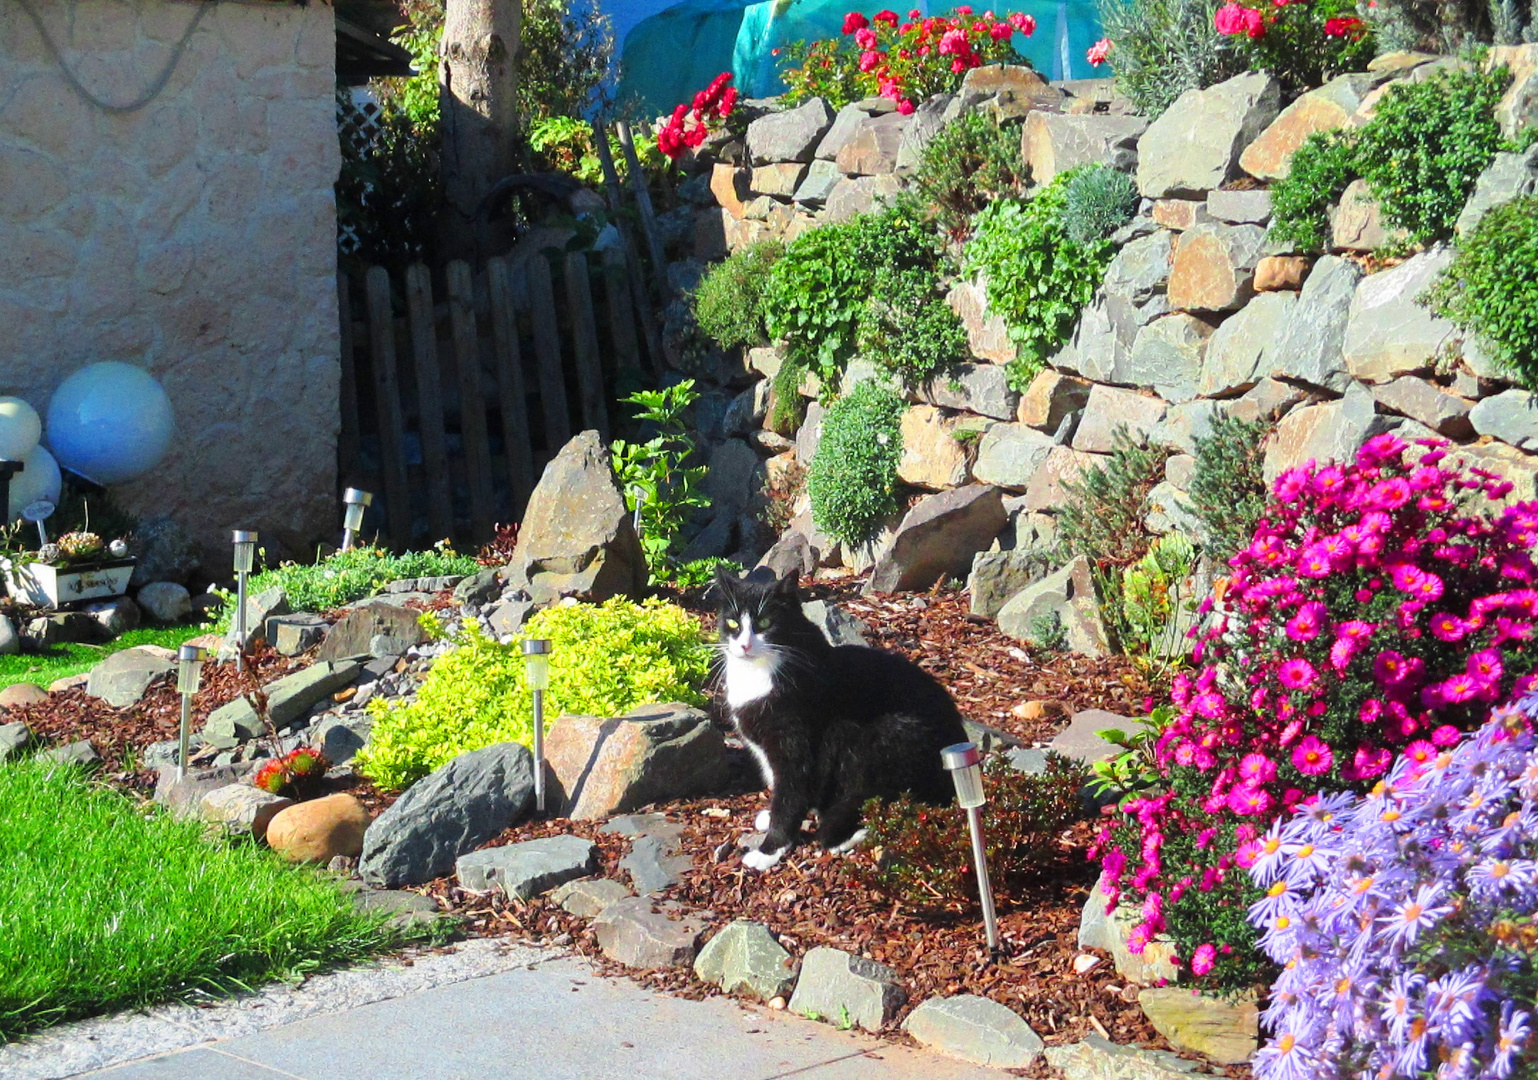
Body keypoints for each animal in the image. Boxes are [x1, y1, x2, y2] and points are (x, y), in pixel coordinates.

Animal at [713, 572, 965, 873]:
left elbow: (790, 794)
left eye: (764, 623)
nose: (744, 645)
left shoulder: (795, 743)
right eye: (732, 623)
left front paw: (770, 849)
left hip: (878, 736)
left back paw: (850, 832)